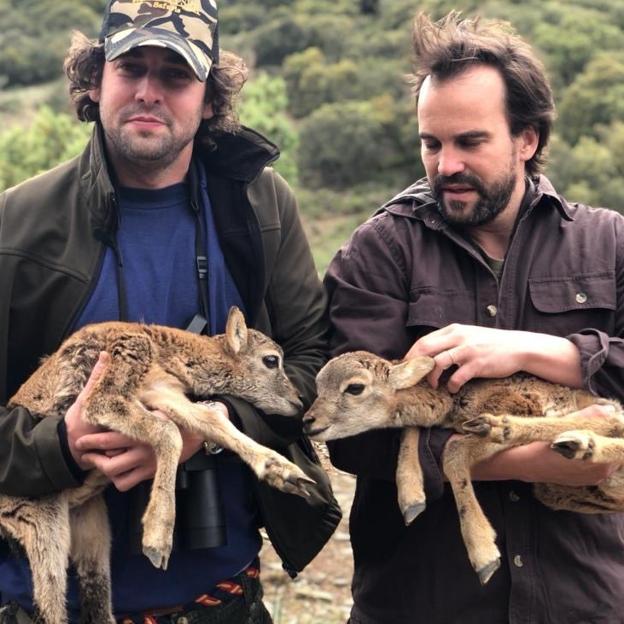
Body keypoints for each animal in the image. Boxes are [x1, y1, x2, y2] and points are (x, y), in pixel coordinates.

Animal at [3, 308, 316, 624]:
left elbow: (210, 420)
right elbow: (169, 432)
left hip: (93, 529)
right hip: (42, 520)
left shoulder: (163, 391)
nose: (298, 402)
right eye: (271, 360)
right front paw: (157, 540)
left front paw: (287, 474)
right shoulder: (105, 395)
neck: (164, 351)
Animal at [304, 354, 624, 588]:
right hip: (556, 490)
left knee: (611, 424)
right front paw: (411, 499)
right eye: (318, 386)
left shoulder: (521, 404)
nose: (308, 421)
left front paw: (483, 555)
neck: (453, 403)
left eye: (355, 387)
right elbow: (412, 430)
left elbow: (453, 452)